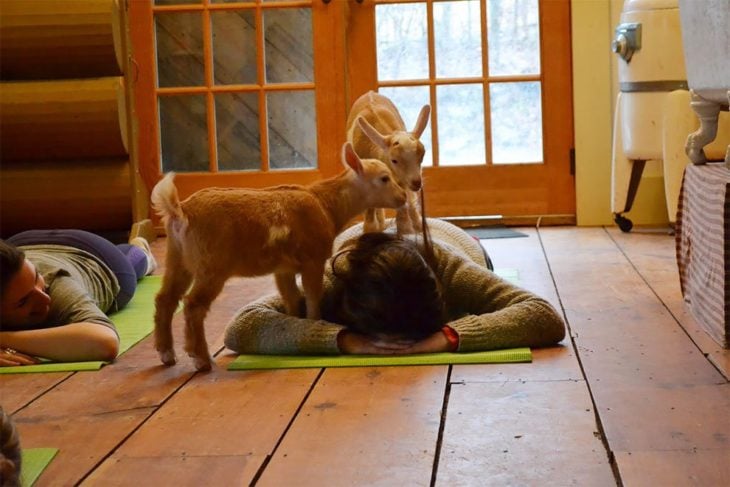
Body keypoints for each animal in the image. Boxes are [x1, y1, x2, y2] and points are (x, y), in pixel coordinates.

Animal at [151, 143, 406, 372]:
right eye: (384, 178)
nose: (403, 197)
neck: (326, 205)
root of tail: (180, 212)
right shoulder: (313, 259)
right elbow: (312, 296)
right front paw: (313, 322)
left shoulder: (284, 268)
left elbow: (291, 298)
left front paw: (294, 324)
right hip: (212, 264)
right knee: (193, 305)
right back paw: (201, 360)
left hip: (178, 258)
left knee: (166, 298)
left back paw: (167, 354)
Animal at [346, 92, 430, 236]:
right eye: (394, 160)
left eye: (422, 157)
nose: (417, 183)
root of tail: (370, 92)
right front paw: (371, 231)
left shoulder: (402, 182)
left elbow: (407, 200)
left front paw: (410, 229)